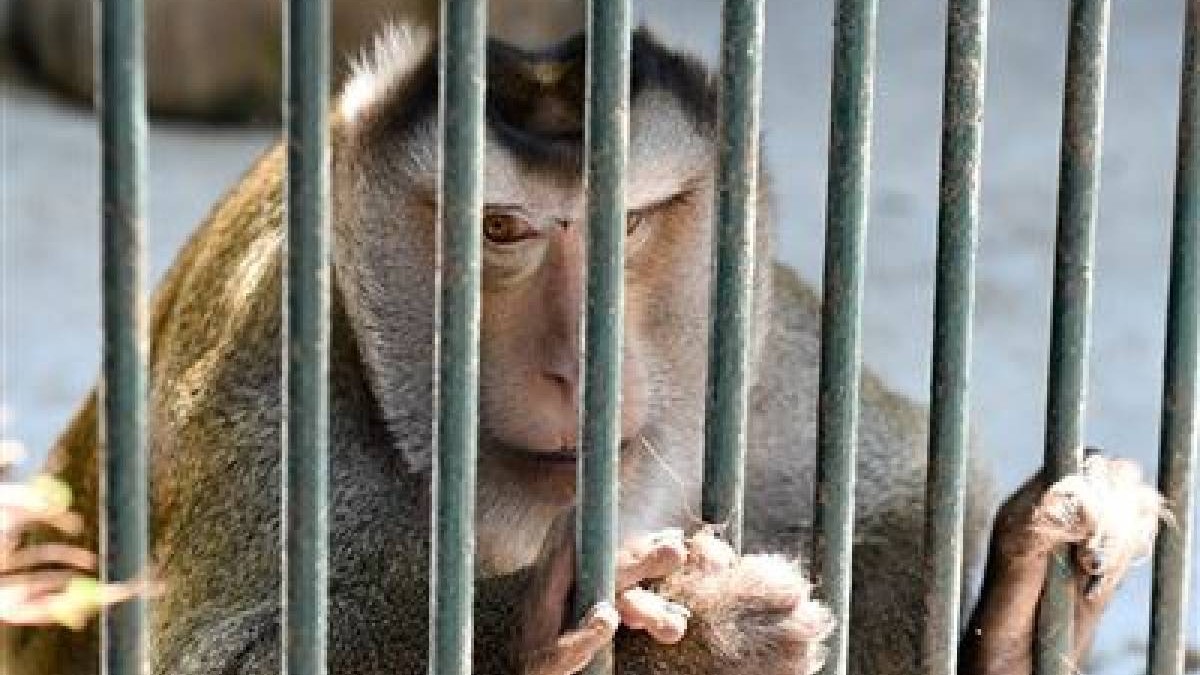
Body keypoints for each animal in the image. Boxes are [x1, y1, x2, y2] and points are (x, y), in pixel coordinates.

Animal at [8, 25, 1164, 675]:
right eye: (501, 230)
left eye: (634, 223)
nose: (576, 365)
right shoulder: (280, 375)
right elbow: (232, 657)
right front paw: (639, 638)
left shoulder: (759, 345)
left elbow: (901, 492)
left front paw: (1015, 619)